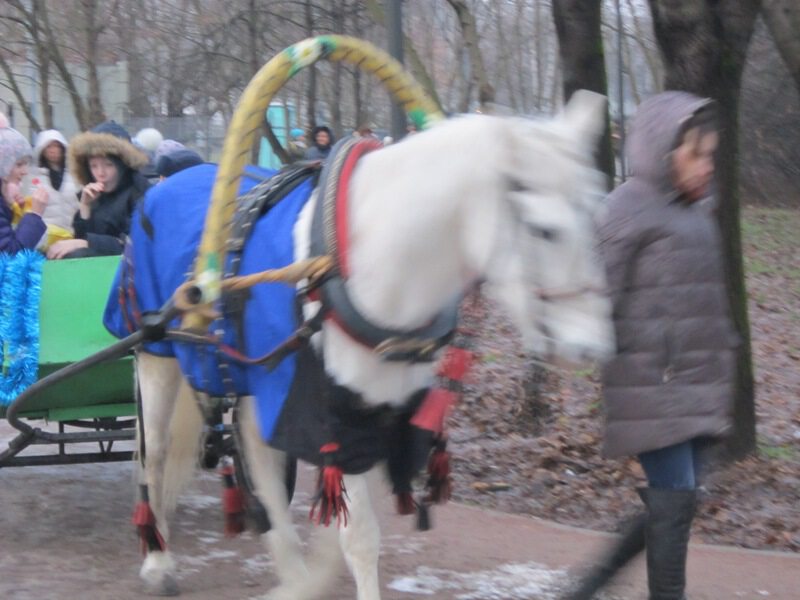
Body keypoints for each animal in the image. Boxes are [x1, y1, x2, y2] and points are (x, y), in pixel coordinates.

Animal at [134, 90, 616, 600]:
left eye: (596, 212)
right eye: (545, 230)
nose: (593, 348)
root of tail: (170, 181)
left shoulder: (385, 417)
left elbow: (340, 532)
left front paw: (310, 577)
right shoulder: (333, 418)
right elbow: (359, 538)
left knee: (259, 461)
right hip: (156, 355)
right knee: (157, 453)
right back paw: (158, 559)